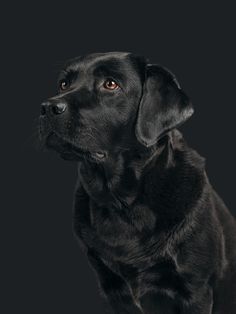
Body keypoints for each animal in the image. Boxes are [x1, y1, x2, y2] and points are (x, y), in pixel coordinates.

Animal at [39, 52, 236, 312]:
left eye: (110, 84)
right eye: (63, 84)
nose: (47, 107)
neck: (123, 202)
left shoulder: (196, 290)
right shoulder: (112, 287)